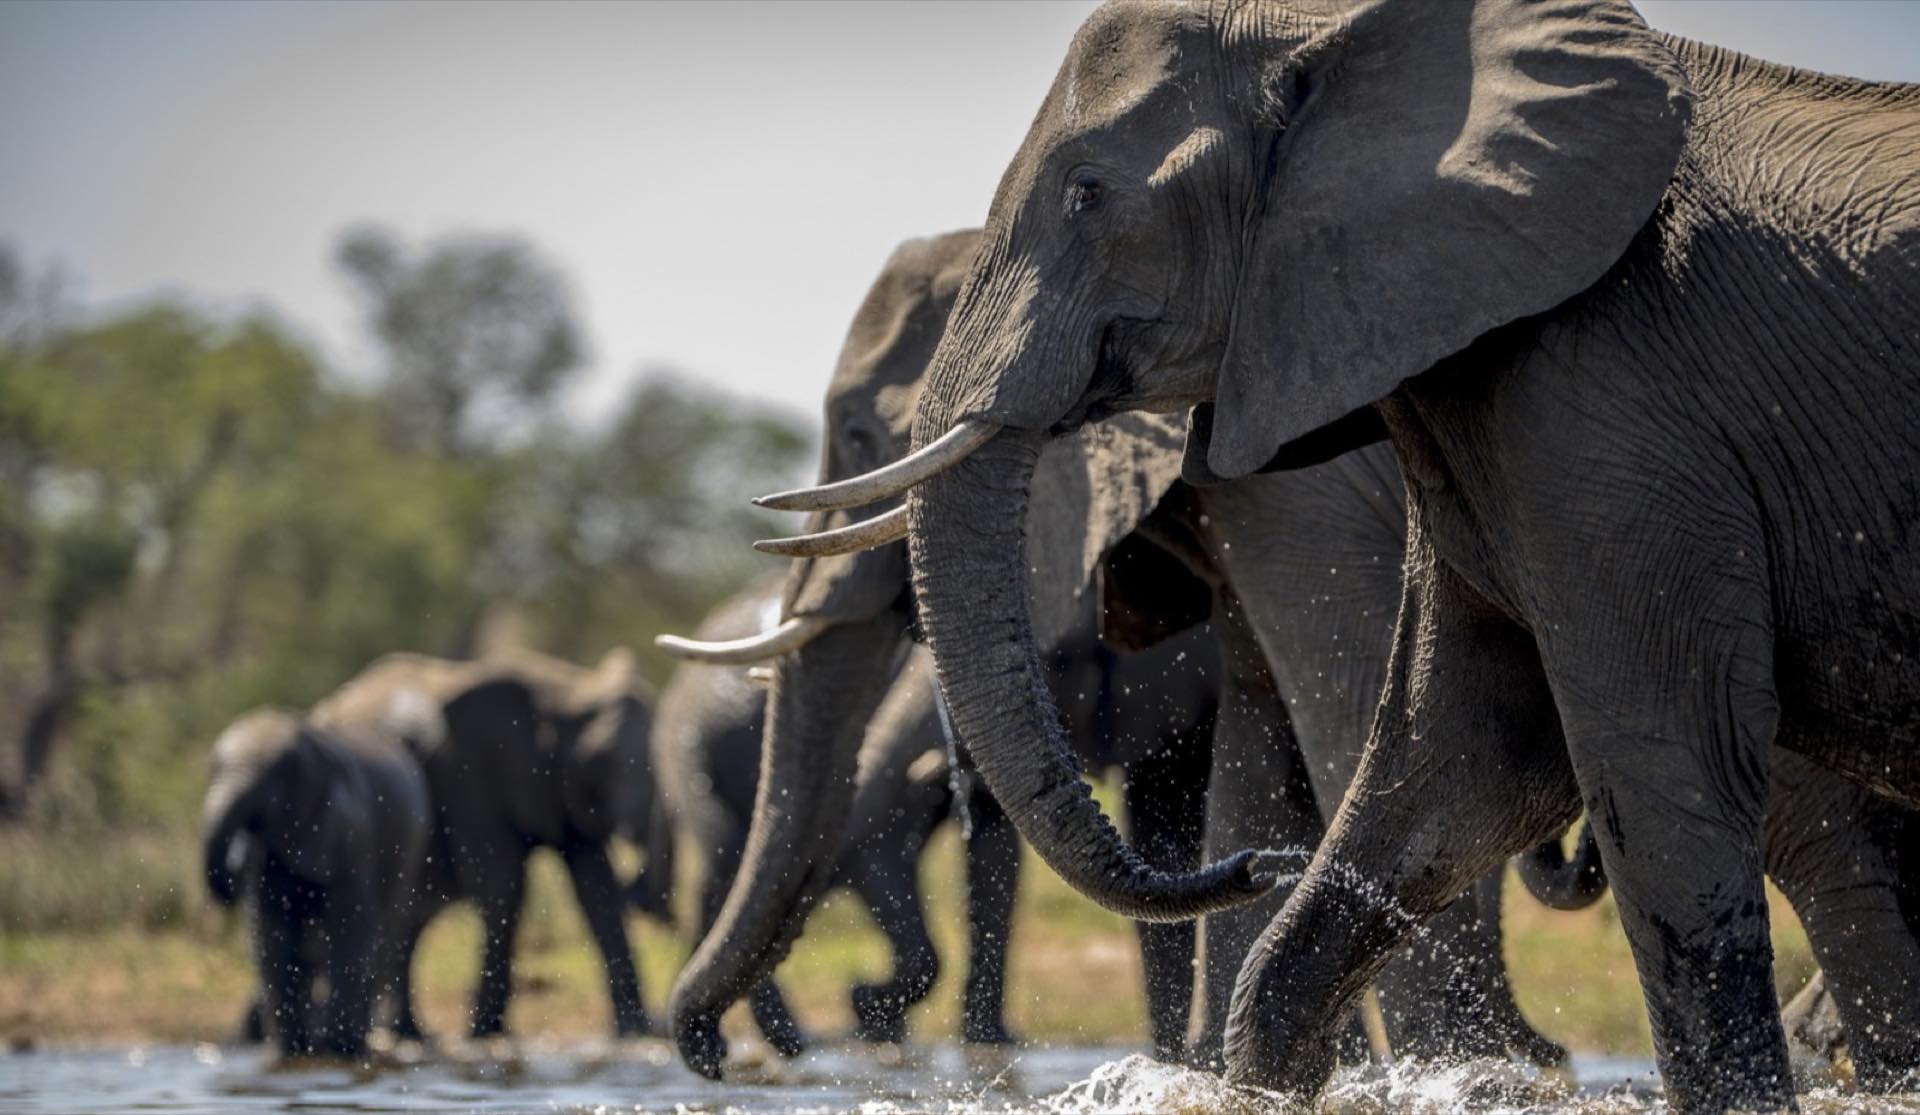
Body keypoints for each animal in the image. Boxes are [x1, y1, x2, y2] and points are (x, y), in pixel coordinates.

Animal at [201, 705, 431, 1057]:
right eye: (212, 769)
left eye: (279, 776)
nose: (231, 873)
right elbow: (272, 932)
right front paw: (291, 1049)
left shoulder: (353, 835)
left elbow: (350, 924)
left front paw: (339, 1046)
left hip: (409, 853)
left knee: (382, 938)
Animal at [319, 647, 659, 1040]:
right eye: (601, 760)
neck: (564, 690)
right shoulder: (470, 772)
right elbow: (502, 884)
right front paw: (485, 1033)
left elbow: (597, 889)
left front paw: (635, 1032)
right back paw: (404, 1033)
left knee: (408, 921)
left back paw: (410, 1033)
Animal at [663, 227, 1573, 1077]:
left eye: (857, 434)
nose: (714, 1057)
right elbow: (1251, 748)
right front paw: (1213, 1069)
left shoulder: (1303, 497)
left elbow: (1351, 728)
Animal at [796, 2, 1920, 1109]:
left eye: (1087, 192)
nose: (1263, 865)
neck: (1339, 32)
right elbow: (1457, 757)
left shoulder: (1610, 401)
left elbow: (1649, 756)